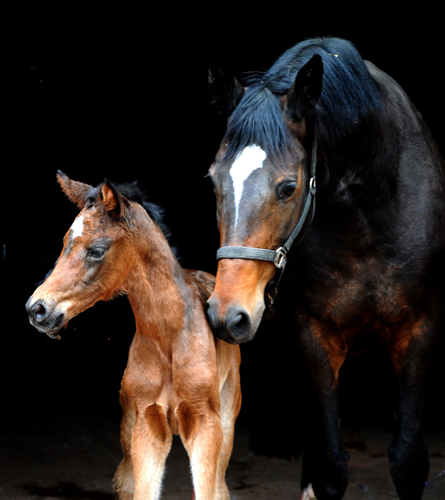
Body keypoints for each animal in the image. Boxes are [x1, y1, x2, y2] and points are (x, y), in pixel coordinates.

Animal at [26, 173, 241, 500]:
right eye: (64, 243)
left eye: (97, 250)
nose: (37, 309)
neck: (169, 340)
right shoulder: (146, 426)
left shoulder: (206, 425)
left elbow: (208, 491)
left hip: (227, 419)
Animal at [206, 37, 444, 498]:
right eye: (213, 181)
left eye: (287, 188)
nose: (227, 314)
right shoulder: (315, 338)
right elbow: (330, 466)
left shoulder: (420, 329)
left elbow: (408, 462)